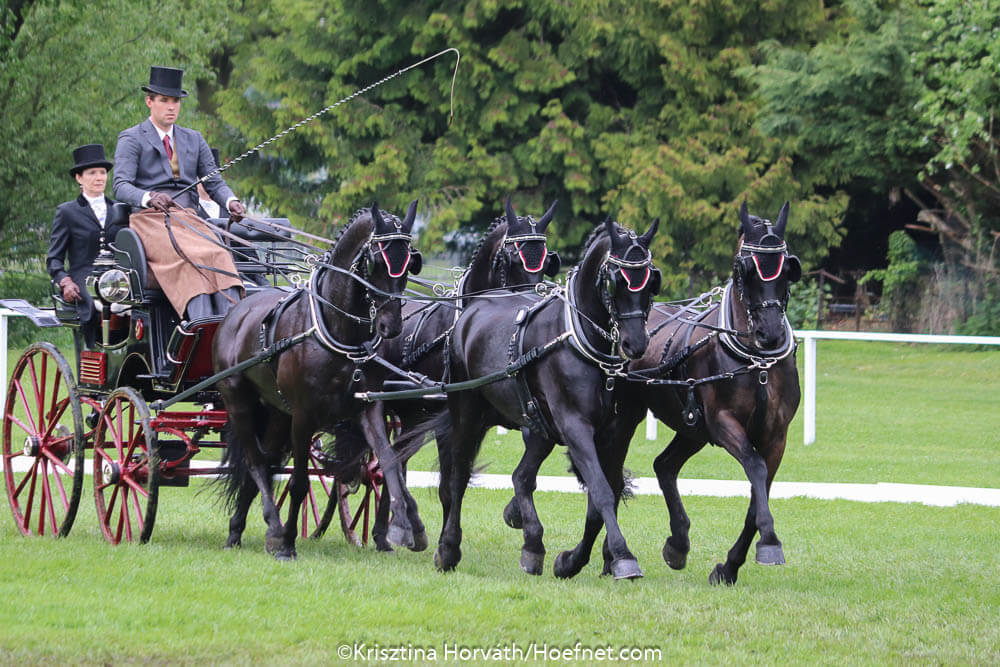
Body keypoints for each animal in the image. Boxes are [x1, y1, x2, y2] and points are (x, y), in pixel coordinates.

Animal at [215, 201, 422, 560]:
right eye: (375, 261)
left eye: (411, 261)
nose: (391, 326)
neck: (339, 331)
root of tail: (238, 309)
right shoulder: (303, 416)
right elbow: (298, 482)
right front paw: (287, 543)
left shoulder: (368, 407)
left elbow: (388, 462)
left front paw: (402, 527)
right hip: (239, 402)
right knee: (256, 463)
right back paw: (273, 528)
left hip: (276, 413)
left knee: (264, 466)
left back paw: (237, 531)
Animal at [342, 196, 564, 552]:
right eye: (512, 258)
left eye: (545, 262)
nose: (530, 307)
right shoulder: (453, 417)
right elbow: (449, 481)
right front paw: (446, 540)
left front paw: (514, 512)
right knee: (388, 459)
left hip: (411, 413)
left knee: (394, 459)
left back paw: (386, 531)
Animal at [426, 217, 660, 576]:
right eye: (614, 281)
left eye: (650, 282)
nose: (635, 344)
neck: (582, 339)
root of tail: (472, 308)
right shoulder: (575, 426)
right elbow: (602, 491)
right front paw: (623, 557)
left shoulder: (617, 432)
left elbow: (601, 496)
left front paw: (570, 561)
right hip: (468, 411)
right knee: (459, 476)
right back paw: (449, 548)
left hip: (538, 426)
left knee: (521, 477)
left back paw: (532, 545)